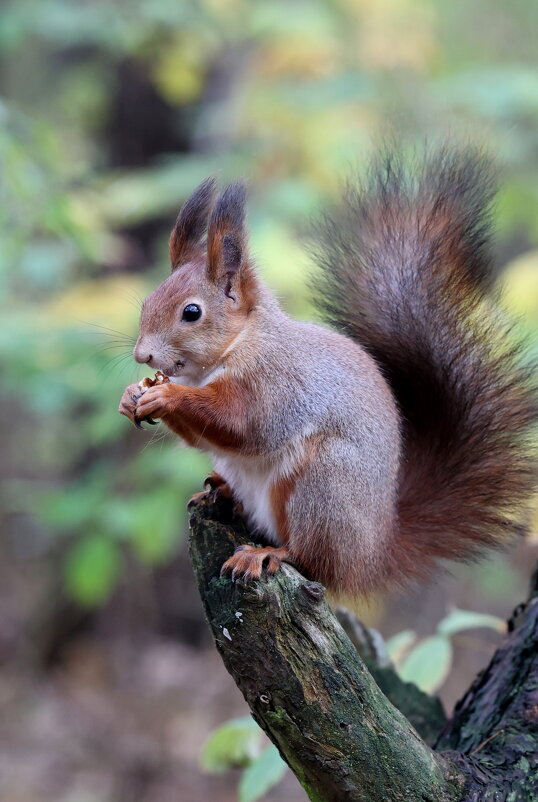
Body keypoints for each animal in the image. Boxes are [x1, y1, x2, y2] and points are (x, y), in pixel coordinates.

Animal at [117, 148, 536, 592]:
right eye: (148, 302)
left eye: (192, 312)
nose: (142, 355)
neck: (232, 350)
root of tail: (372, 553)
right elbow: (205, 438)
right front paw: (130, 397)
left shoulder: (278, 383)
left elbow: (244, 424)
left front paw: (167, 395)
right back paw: (222, 492)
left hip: (324, 485)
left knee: (314, 559)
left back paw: (267, 553)